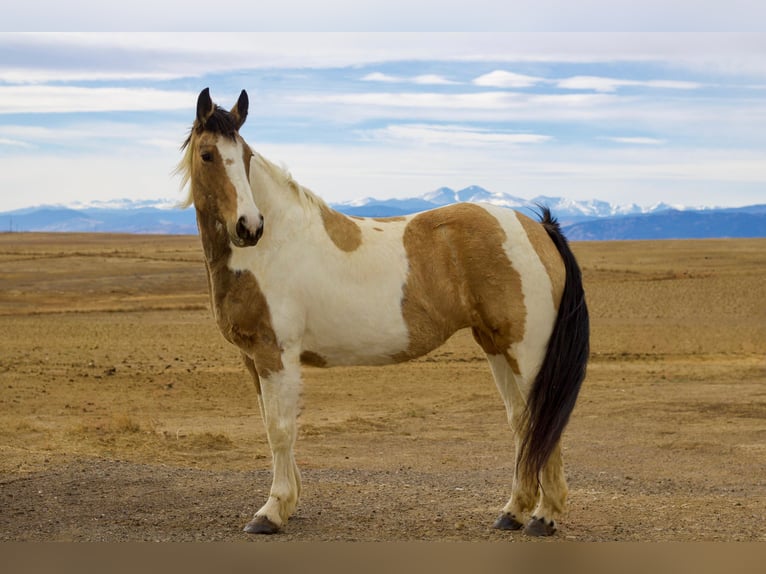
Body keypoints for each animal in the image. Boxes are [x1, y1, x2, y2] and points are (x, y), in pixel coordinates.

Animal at [177, 88, 589, 537]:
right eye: (208, 155)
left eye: (246, 155)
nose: (249, 226)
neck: (273, 247)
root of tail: (538, 229)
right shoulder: (252, 359)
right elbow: (271, 425)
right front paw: (289, 503)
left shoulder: (275, 355)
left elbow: (280, 429)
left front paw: (270, 513)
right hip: (497, 346)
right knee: (523, 422)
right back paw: (513, 512)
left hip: (528, 352)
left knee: (546, 420)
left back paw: (544, 516)